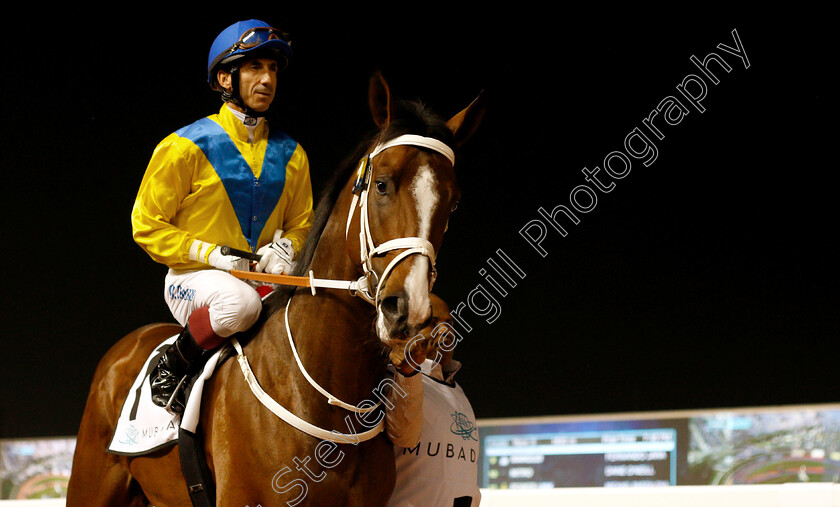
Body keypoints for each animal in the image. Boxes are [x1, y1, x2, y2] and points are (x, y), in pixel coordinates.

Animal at [67, 72, 486, 507]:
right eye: (383, 184)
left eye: (453, 202)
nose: (407, 308)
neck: (324, 398)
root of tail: (127, 346)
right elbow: (149, 220)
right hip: (91, 485)